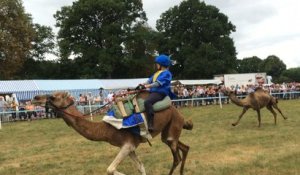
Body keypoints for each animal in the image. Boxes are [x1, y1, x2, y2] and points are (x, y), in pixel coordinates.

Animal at [32, 91, 192, 175]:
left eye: (53, 97)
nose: (35, 98)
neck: (106, 128)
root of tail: (178, 112)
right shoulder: (130, 146)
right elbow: (141, 167)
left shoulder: (127, 145)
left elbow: (110, 169)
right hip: (169, 132)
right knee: (184, 148)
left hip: (172, 128)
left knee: (176, 156)